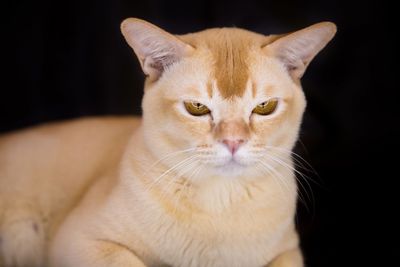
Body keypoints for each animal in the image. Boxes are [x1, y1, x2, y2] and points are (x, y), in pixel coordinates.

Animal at [0, 17, 336, 266]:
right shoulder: (80, 239)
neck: (220, 205)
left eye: (265, 107)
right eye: (197, 107)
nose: (233, 141)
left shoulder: (289, 251)